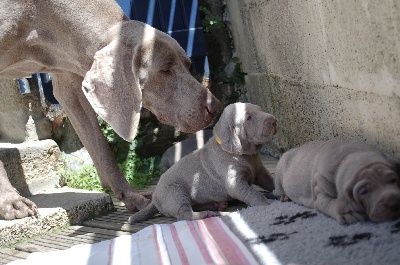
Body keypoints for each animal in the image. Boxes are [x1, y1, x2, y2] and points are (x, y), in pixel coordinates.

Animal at [0, 0, 222, 219]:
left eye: (188, 64)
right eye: (165, 69)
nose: (216, 107)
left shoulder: (69, 84)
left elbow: (102, 149)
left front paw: (132, 197)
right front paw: (11, 202)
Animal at [129, 102, 278, 222]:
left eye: (260, 109)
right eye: (248, 118)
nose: (274, 120)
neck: (244, 154)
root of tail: (154, 198)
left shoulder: (259, 171)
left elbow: (269, 181)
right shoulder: (235, 182)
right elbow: (252, 193)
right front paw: (266, 202)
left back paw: (217, 205)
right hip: (174, 192)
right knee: (183, 214)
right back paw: (204, 214)